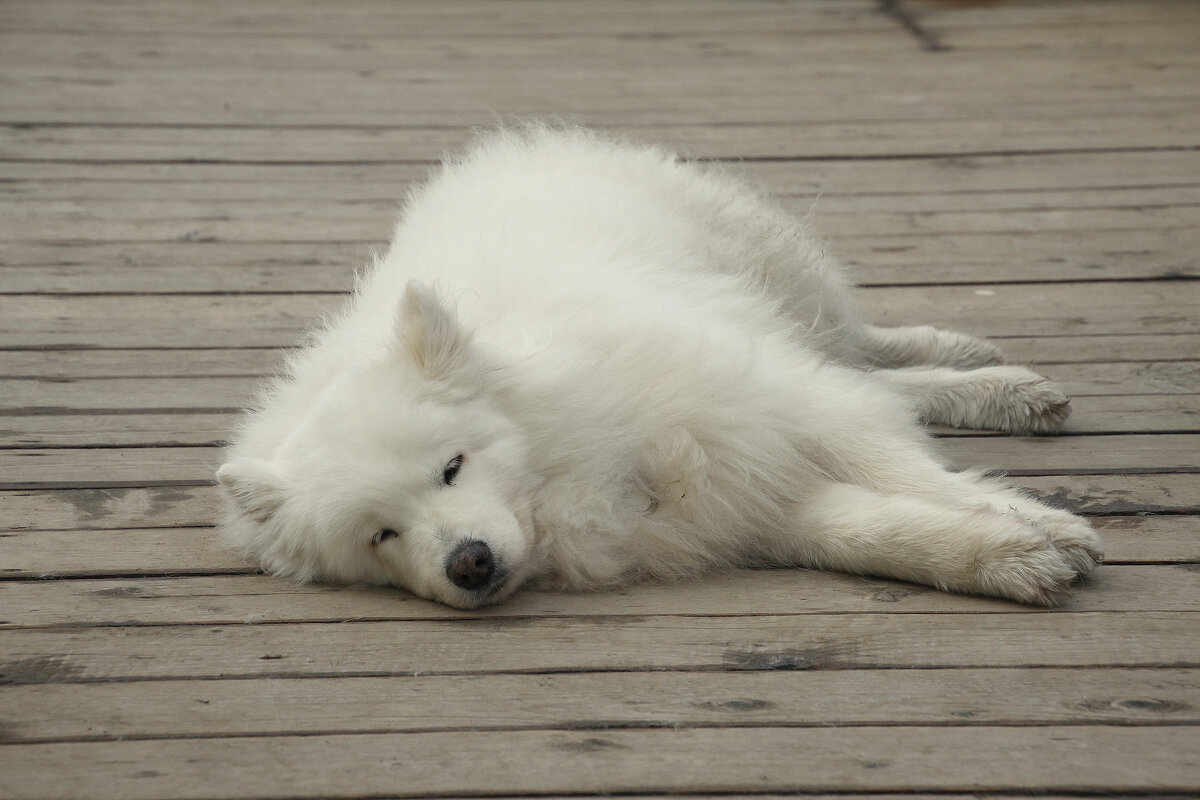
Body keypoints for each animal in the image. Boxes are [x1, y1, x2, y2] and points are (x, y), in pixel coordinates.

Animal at [218, 128, 1104, 609]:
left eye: (451, 467)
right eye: (381, 535)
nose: (467, 565)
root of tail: (510, 152)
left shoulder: (775, 400)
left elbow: (908, 470)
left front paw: (1041, 524)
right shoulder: (742, 501)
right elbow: (874, 531)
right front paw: (1007, 558)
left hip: (781, 281)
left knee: (861, 348)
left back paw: (981, 369)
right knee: (869, 373)